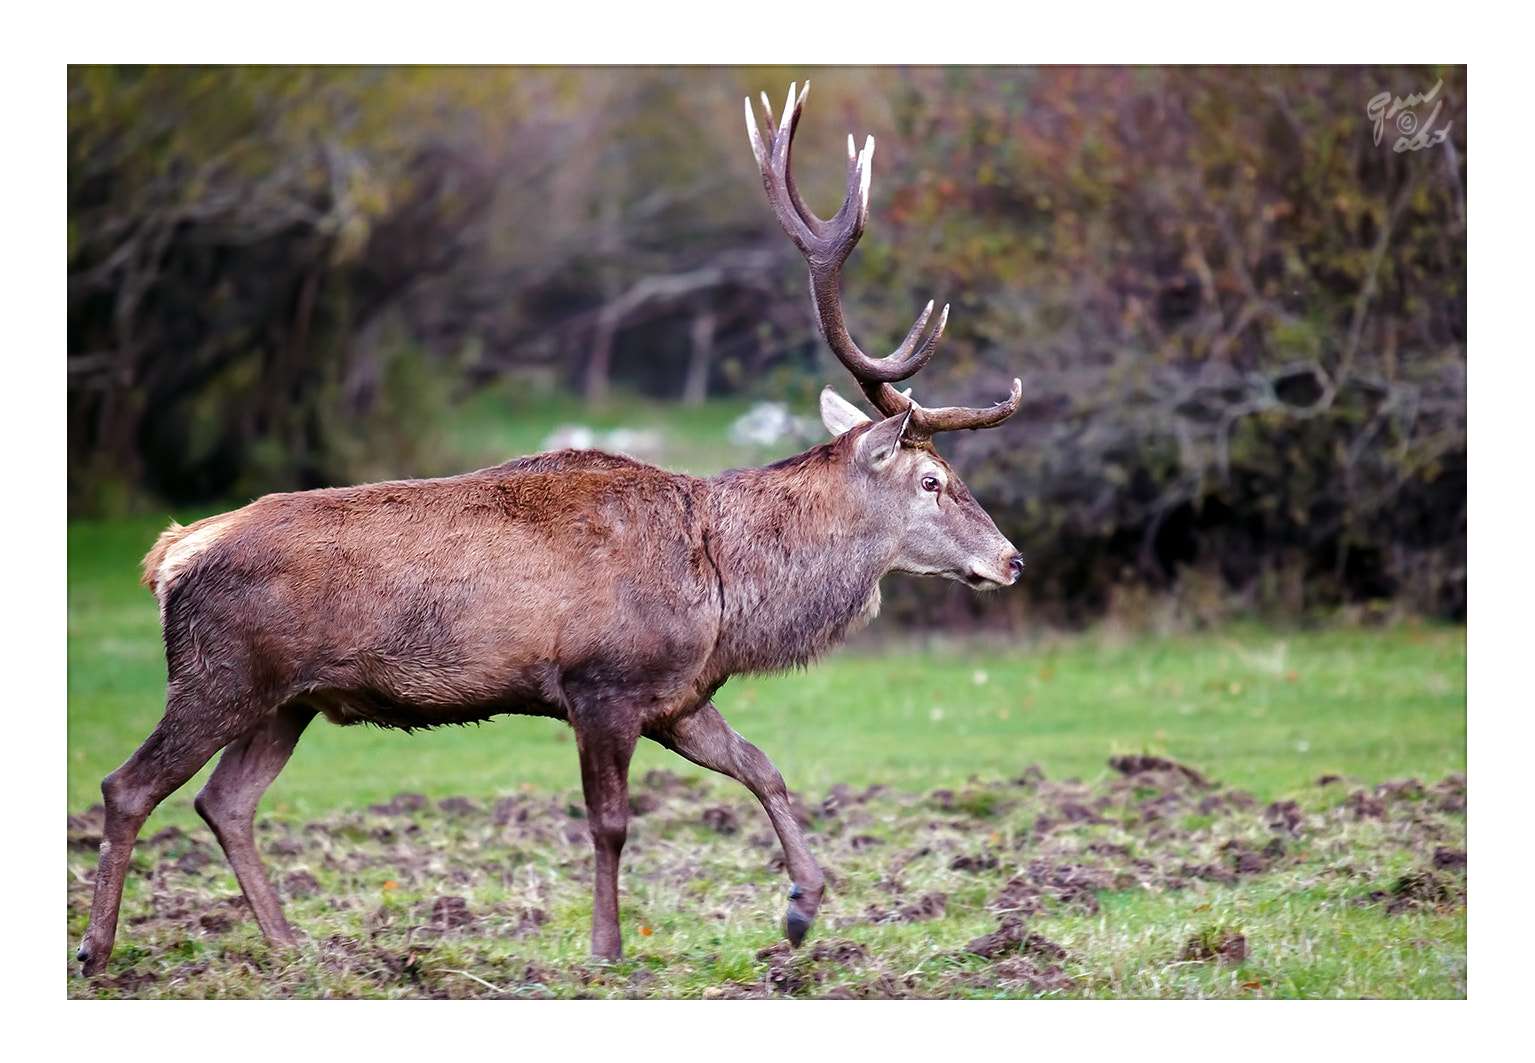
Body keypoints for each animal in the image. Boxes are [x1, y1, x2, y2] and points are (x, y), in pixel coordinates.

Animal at [77, 85, 1025, 975]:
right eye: (935, 480)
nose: (1012, 560)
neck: (726, 589)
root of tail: (170, 554)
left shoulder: (676, 695)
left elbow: (762, 763)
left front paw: (802, 905)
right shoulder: (599, 681)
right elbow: (609, 822)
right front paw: (607, 949)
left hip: (289, 698)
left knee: (225, 801)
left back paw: (291, 947)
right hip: (222, 672)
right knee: (129, 785)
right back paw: (99, 950)